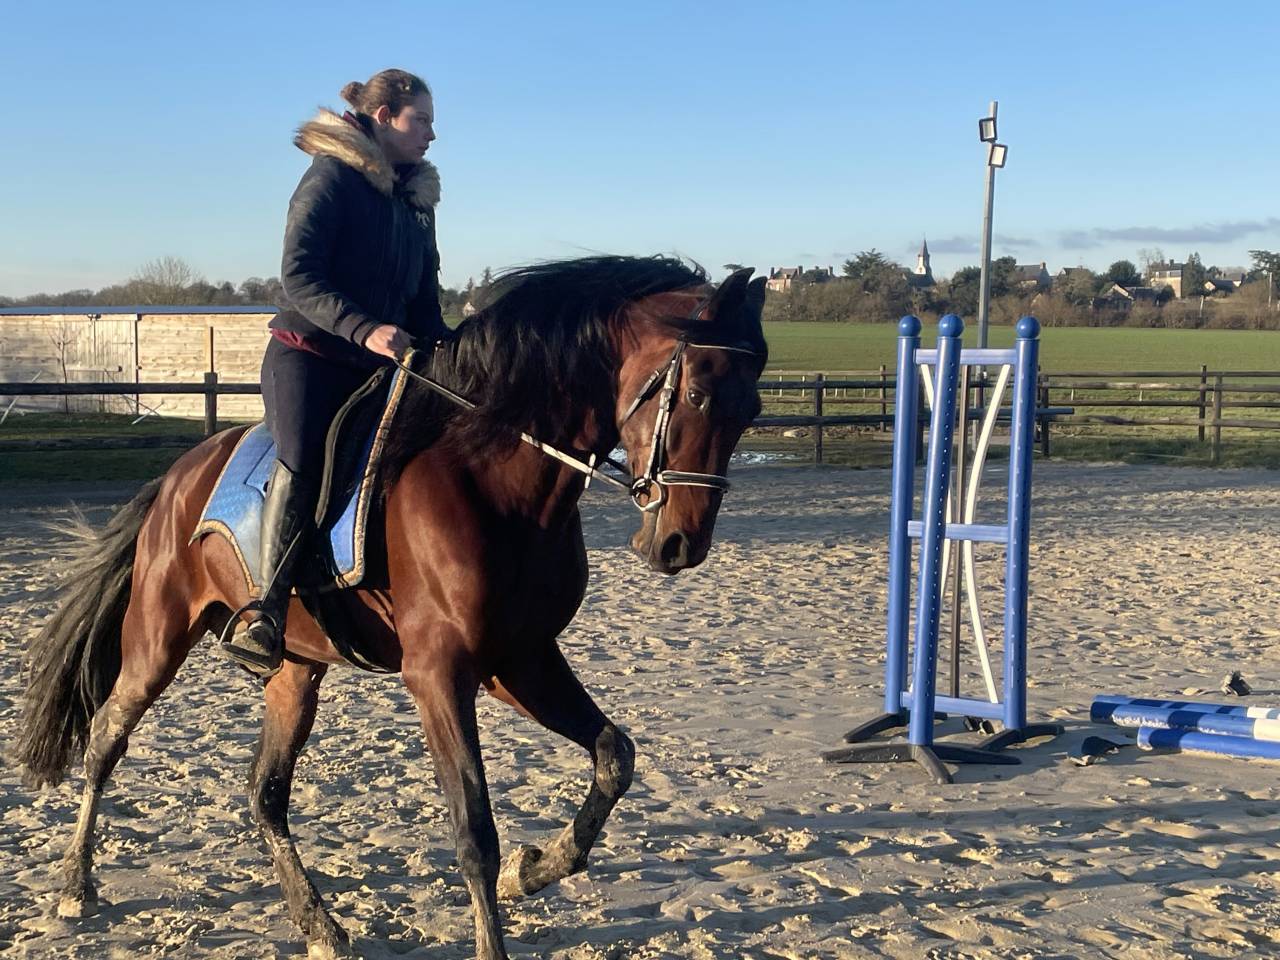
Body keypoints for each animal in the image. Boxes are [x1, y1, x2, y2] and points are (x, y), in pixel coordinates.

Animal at [17, 256, 769, 960]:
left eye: (753, 412)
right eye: (696, 393)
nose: (679, 545)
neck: (496, 478)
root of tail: (178, 476)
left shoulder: (519, 659)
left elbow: (615, 755)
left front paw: (532, 870)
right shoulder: (439, 673)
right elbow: (473, 828)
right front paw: (496, 927)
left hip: (295, 670)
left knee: (265, 791)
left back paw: (318, 923)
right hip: (158, 638)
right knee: (108, 737)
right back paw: (75, 886)